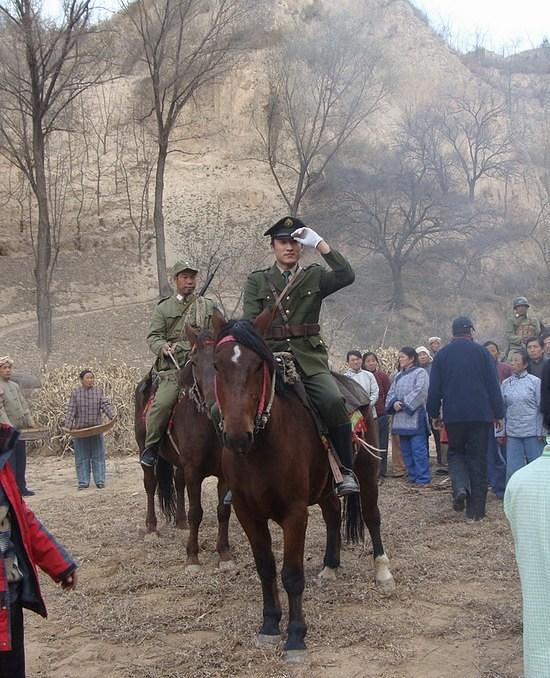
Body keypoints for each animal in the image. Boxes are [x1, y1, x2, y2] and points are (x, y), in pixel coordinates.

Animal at [209, 314, 394, 664]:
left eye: (258, 365)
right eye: (216, 365)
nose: (237, 435)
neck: (260, 449)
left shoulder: (294, 514)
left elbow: (292, 575)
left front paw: (295, 636)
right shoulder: (246, 512)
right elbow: (266, 568)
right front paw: (269, 625)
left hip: (366, 473)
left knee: (372, 516)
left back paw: (382, 571)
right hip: (324, 489)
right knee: (334, 516)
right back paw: (330, 567)